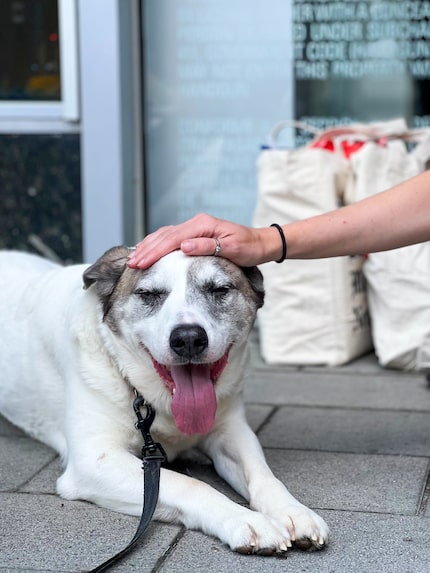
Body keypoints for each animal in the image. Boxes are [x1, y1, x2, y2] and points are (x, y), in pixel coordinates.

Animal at [0, 246, 328, 556]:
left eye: (219, 289)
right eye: (148, 294)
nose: (188, 338)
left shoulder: (231, 432)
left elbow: (263, 475)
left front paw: (293, 512)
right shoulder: (93, 460)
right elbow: (190, 484)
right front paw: (247, 520)